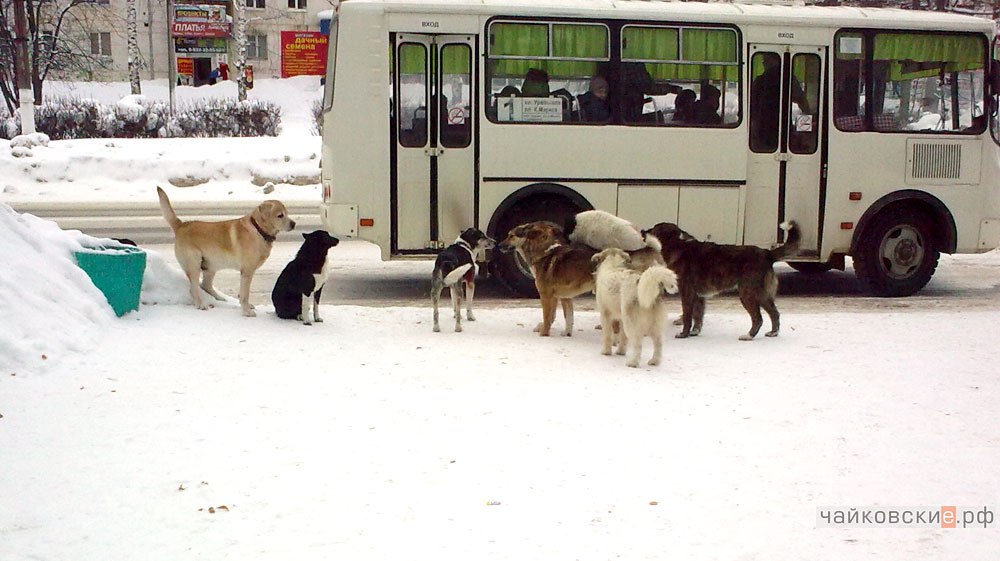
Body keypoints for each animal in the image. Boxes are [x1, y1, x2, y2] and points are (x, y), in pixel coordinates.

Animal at [156, 184, 294, 316]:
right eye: (280, 215)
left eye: (286, 213)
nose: (294, 224)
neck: (258, 230)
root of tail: (181, 225)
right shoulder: (247, 272)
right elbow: (245, 294)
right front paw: (246, 312)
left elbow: (242, 294)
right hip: (194, 265)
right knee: (194, 288)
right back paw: (200, 304)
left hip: (211, 266)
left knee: (205, 285)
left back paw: (219, 298)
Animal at [644, 221, 800, 340]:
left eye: (654, 229)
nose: (642, 231)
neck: (678, 245)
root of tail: (767, 254)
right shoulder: (699, 296)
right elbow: (698, 316)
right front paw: (694, 332)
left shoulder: (687, 292)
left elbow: (688, 316)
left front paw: (684, 334)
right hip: (762, 294)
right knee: (774, 313)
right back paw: (773, 333)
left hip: (748, 293)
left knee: (758, 318)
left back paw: (749, 336)